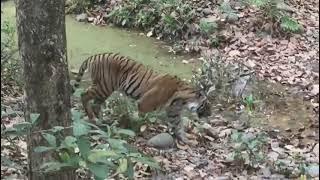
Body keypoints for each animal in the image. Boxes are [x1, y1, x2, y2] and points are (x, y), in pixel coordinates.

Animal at [73, 51, 212, 143]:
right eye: (206, 105)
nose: (210, 115)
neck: (182, 100)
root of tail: (97, 55)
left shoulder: (174, 112)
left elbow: (178, 126)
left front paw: (187, 140)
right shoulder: (145, 103)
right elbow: (141, 119)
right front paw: (139, 131)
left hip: (104, 90)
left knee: (96, 103)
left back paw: (100, 121)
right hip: (104, 87)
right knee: (84, 95)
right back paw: (92, 118)